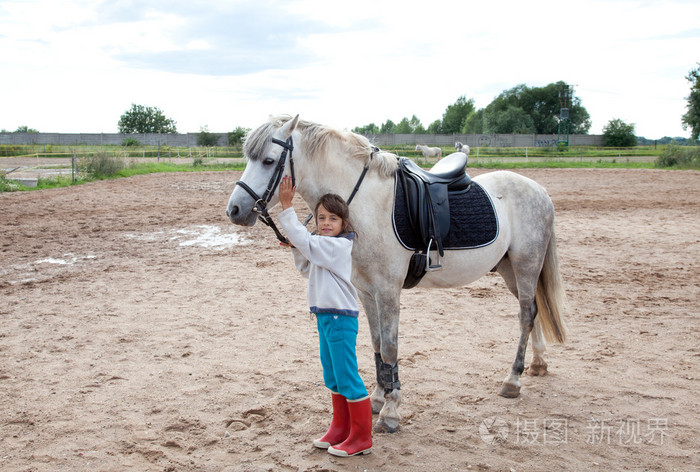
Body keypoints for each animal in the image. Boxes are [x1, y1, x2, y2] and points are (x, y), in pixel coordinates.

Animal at [226, 115, 567, 434]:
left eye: (268, 160)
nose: (234, 210)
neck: (365, 205)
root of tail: (539, 190)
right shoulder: (366, 291)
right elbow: (377, 345)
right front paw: (378, 399)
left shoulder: (388, 291)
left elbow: (390, 348)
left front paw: (391, 413)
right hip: (511, 269)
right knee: (533, 310)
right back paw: (538, 364)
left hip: (526, 265)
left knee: (526, 315)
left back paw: (513, 379)